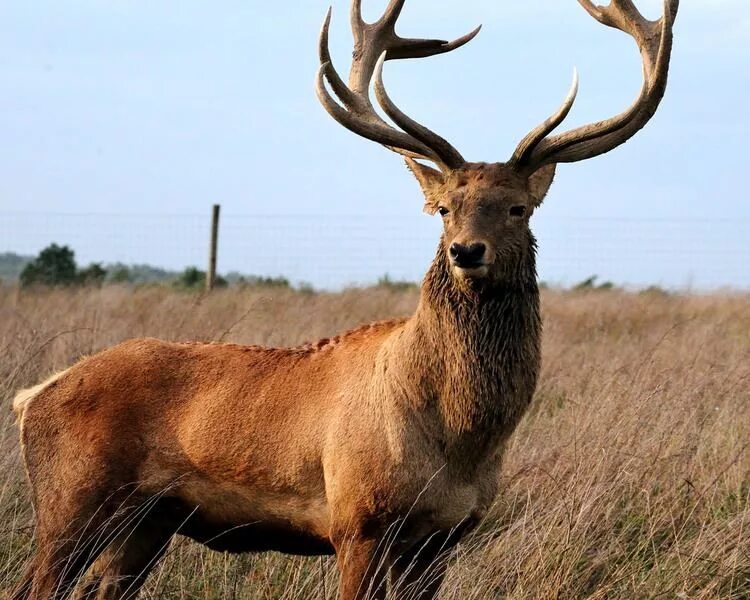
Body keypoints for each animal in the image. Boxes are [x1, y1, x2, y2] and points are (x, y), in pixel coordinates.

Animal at [10, 1, 680, 600]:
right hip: (72, 499)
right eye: (445, 208)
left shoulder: (446, 536)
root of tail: (32, 396)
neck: (460, 442)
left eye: (518, 208)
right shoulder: (357, 519)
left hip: (146, 523)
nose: (467, 251)